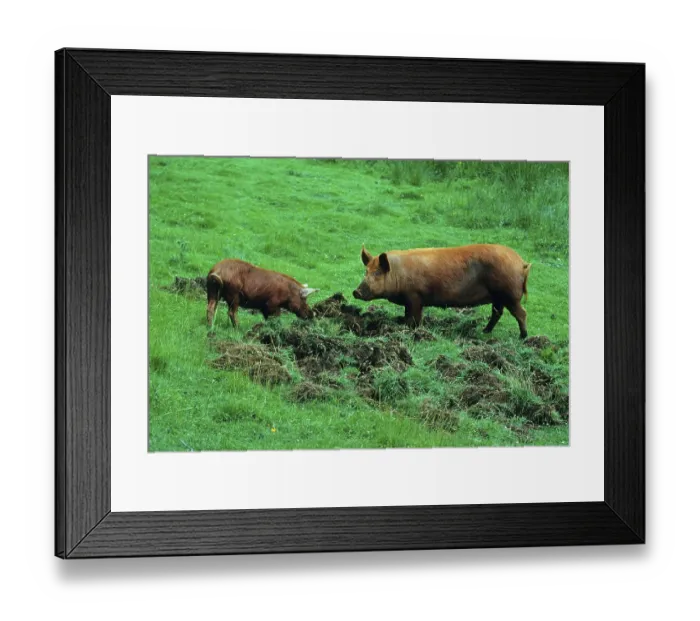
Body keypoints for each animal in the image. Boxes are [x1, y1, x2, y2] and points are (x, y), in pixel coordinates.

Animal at [353, 244, 532, 338]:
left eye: (377, 273)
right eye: (366, 272)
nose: (356, 292)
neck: (399, 273)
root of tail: (521, 263)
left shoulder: (415, 296)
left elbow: (414, 318)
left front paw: (412, 331)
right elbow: (408, 316)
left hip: (509, 294)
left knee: (521, 313)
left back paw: (523, 337)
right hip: (498, 297)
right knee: (497, 313)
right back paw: (485, 332)